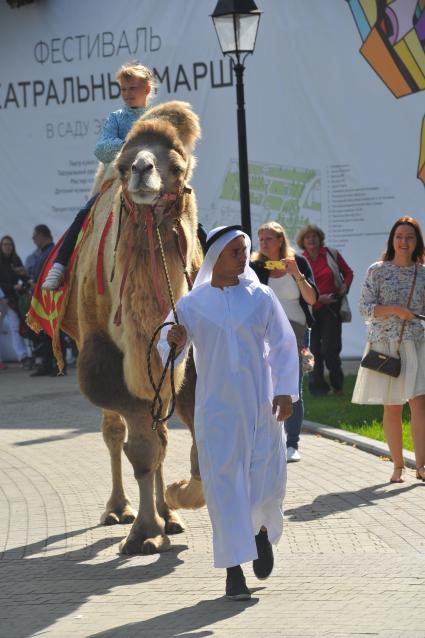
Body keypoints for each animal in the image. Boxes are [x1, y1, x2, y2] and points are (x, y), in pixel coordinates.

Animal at [60, 100, 205, 556]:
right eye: (124, 165)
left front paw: (177, 500)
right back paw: (118, 509)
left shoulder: (183, 360)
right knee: (115, 432)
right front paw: (143, 532)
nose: (142, 168)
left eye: (177, 167)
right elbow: (140, 448)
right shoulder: (104, 359)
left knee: (160, 430)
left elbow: (176, 435)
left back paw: (169, 514)